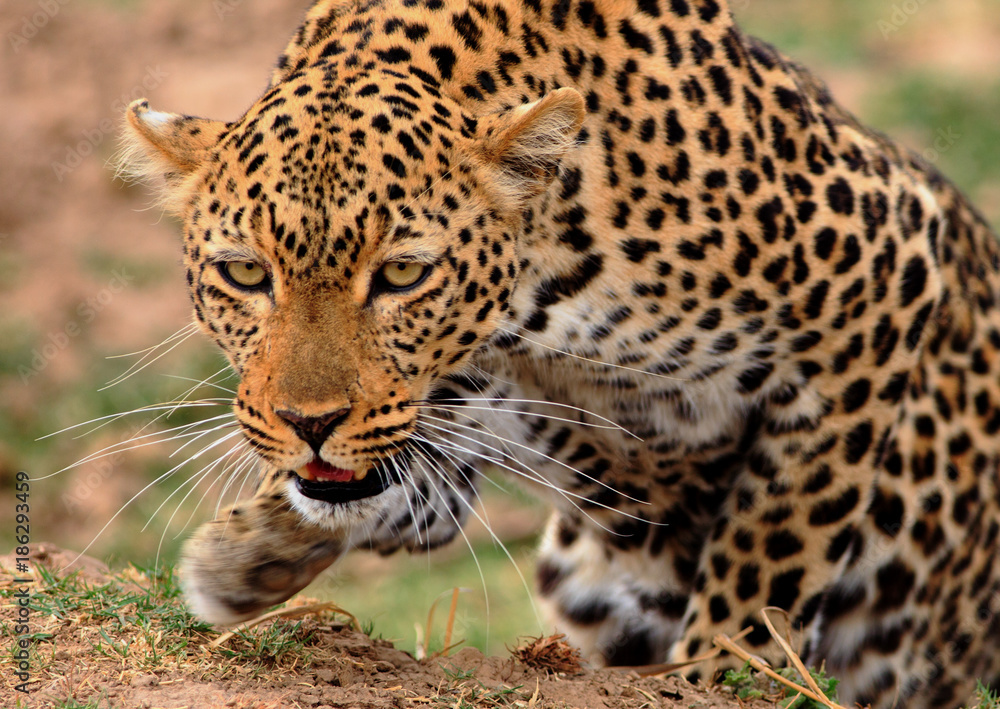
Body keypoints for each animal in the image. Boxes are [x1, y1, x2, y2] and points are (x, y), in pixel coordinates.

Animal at [121, 0, 1000, 704]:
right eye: (245, 273)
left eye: (403, 273)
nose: (310, 422)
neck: (531, 302)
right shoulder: (464, 412)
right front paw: (243, 556)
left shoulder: (878, 283)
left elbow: (775, 546)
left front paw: (720, 672)